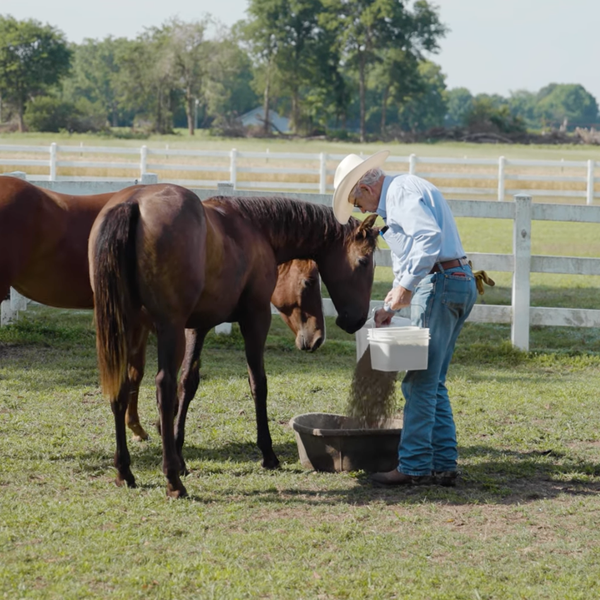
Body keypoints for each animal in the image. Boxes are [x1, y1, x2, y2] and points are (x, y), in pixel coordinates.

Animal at [0, 175, 326, 440]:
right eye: (310, 281)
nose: (317, 337)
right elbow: (146, 373)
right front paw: (151, 426)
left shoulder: (143, 324)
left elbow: (137, 372)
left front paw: (143, 425)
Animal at [89, 185, 380, 500]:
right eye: (309, 282)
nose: (319, 336)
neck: (255, 228)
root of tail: (133, 203)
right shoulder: (255, 319)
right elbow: (257, 383)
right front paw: (268, 454)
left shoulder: (197, 327)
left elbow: (188, 384)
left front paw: (180, 453)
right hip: (168, 329)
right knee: (163, 388)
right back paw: (172, 481)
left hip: (128, 328)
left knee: (122, 387)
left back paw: (125, 471)